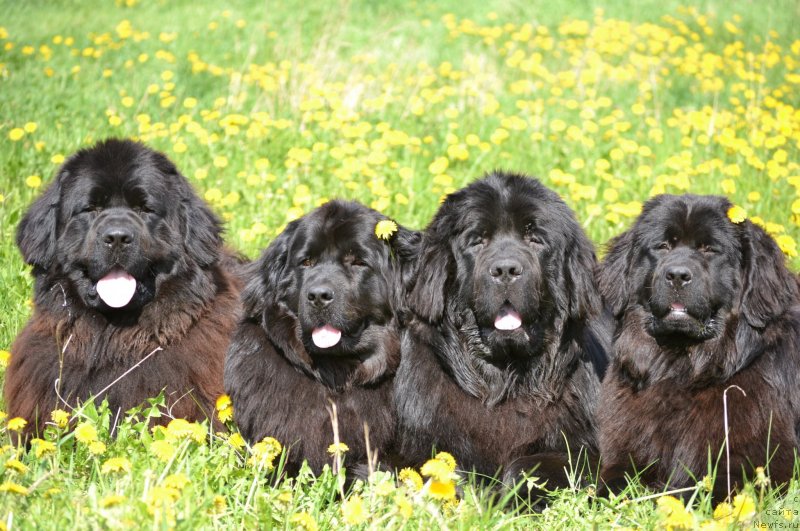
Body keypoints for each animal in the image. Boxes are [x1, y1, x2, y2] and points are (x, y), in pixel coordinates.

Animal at [396, 172, 608, 492]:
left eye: (535, 239)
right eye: (477, 241)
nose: (506, 269)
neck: (505, 380)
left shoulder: (590, 452)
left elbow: (529, 466)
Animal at [596, 194, 800, 498]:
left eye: (709, 249)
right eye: (663, 246)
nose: (677, 275)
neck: (685, 370)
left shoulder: (759, 464)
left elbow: (699, 490)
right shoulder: (625, 450)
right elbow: (611, 482)